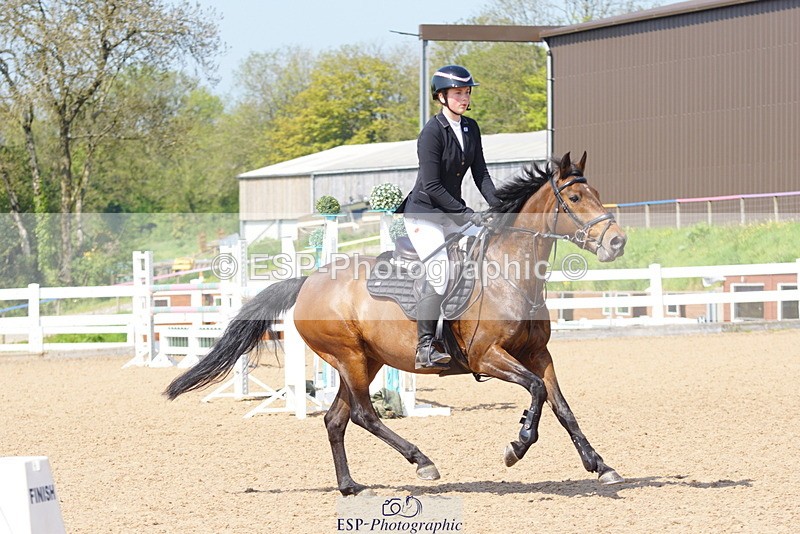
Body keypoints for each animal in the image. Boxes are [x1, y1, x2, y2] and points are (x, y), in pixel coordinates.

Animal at [165, 151, 628, 496]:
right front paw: (517, 445)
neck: (511, 274)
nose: (617, 242)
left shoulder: (537, 353)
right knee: (363, 415)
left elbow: (561, 406)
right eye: (575, 199)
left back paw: (351, 486)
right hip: (349, 358)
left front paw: (600, 465)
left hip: (364, 362)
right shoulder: (487, 357)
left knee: (336, 419)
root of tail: (308, 281)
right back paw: (422, 462)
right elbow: (536, 392)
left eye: (596, 194)